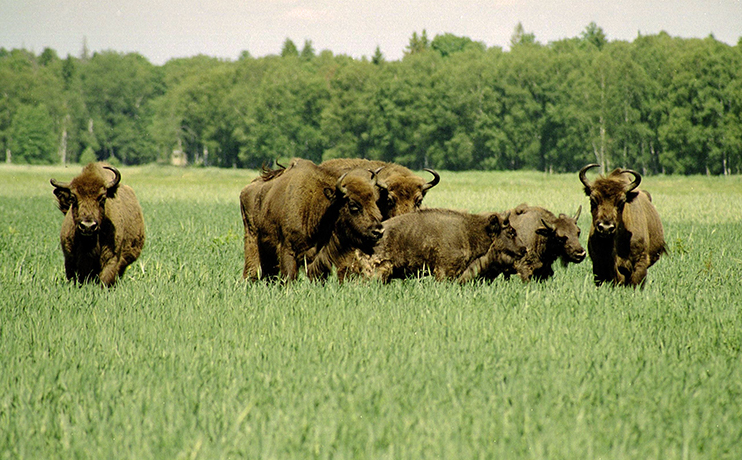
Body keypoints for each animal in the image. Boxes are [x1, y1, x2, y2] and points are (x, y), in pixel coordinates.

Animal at [244, 158, 386, 280]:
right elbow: (289, 277)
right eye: (353, 205)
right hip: (252, 240)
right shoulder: (288, 250)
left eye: (374, 201)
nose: (378, 231)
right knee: (252, 269)